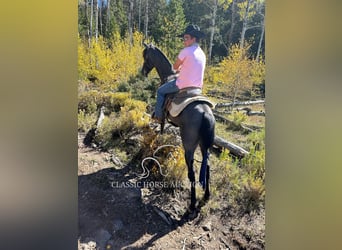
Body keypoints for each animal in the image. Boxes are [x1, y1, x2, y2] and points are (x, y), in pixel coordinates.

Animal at [141, 43, 215, 215]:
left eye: (145, 56)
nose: (142, 72)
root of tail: (205, 112)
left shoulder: (163, 116)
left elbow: (161, 126)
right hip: (204, 145)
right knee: (207, 166)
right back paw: (206, 196)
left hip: (190, 146)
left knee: (192, 173)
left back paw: (192, 205)